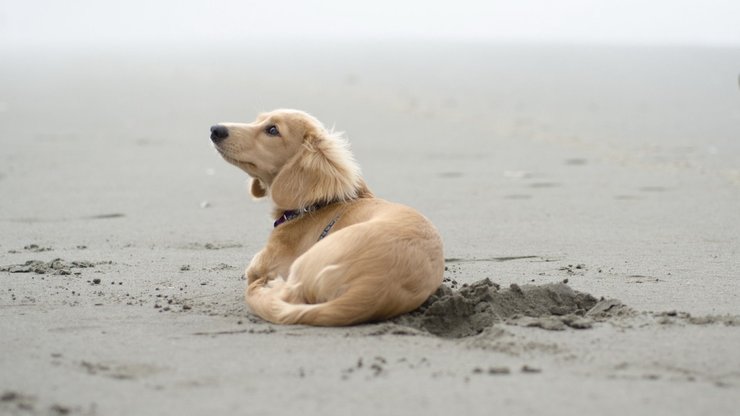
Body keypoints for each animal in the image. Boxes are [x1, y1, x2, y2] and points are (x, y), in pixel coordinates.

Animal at [208, 109, 442, 324]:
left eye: (273, 130)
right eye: (257, 119)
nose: (215, 129)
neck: (317, 205)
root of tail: (370, 290)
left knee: (289, 295)